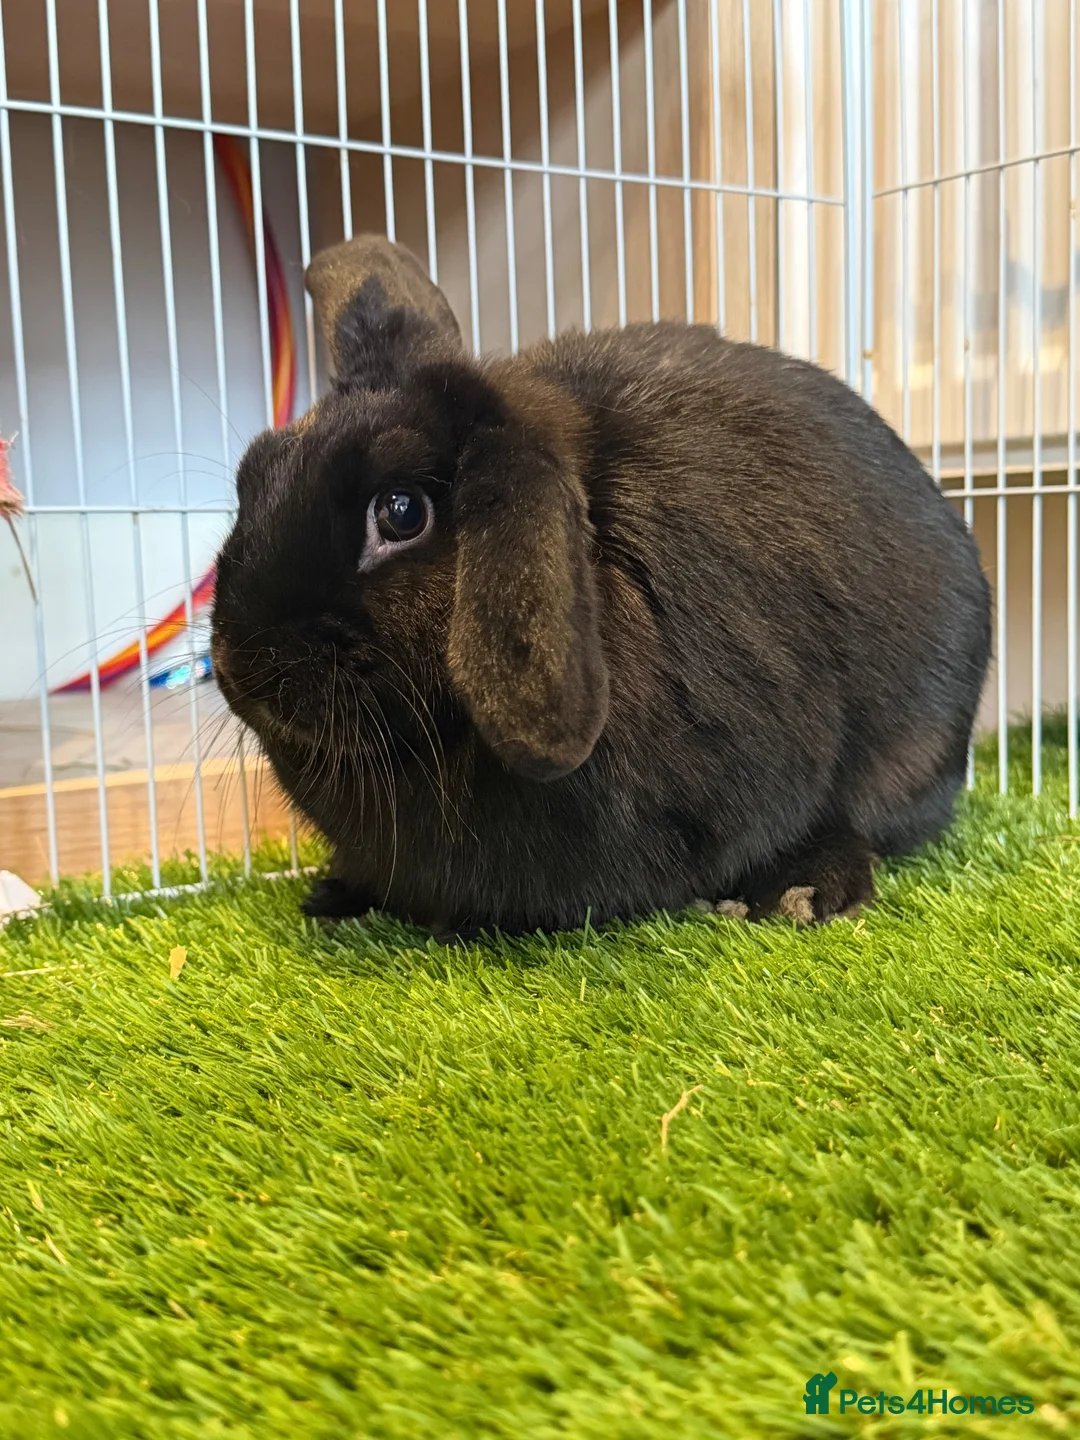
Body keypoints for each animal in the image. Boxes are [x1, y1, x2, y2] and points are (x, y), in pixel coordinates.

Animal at [210, 234, 992, 938]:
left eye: (401, 512)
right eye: (254, 471)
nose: (239, 665)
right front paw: (340, 894)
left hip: (910, 752)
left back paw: (797, 893)